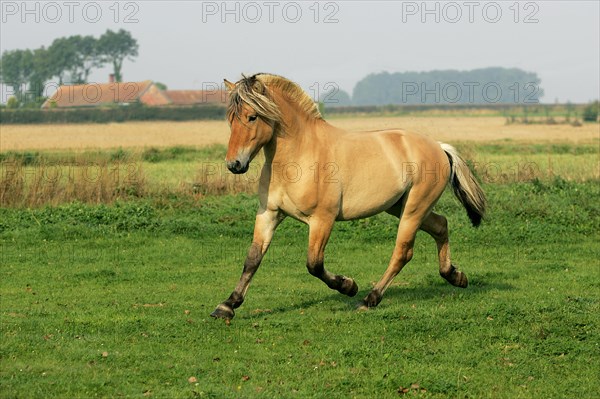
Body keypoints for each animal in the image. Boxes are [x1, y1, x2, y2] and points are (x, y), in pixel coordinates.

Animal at [211, 73, 488, 320]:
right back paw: (455, 276)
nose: (234, 164)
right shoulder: (269, 214)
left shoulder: (322, 219)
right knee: (441, 225)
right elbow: (252, 259)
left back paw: (369, 298)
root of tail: (438, 147)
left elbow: (314, 264)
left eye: (252, 116)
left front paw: (348, 285)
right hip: (400, 207)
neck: (299, 157)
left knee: (403, 252)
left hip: (414, 210)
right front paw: (227, 306)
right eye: (230, 119)